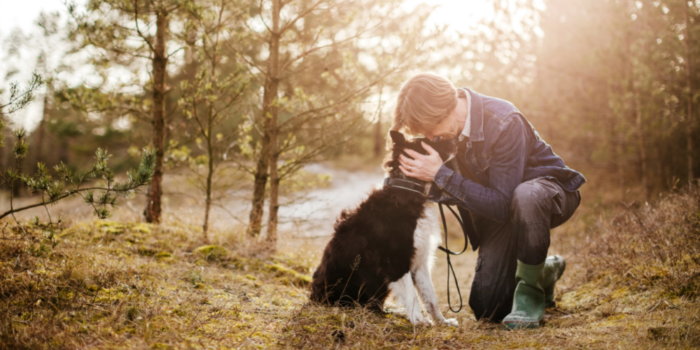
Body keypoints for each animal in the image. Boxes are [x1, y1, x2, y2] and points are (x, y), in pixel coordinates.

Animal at [308, 130, 456, 326]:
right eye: (433, 142)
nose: (457, 140)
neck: (407, 191)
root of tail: (314, 298)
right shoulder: (396, 261)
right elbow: (411, 295)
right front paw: (418, 321)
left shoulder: (420, 261)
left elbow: (431, 297)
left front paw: (442, 322)